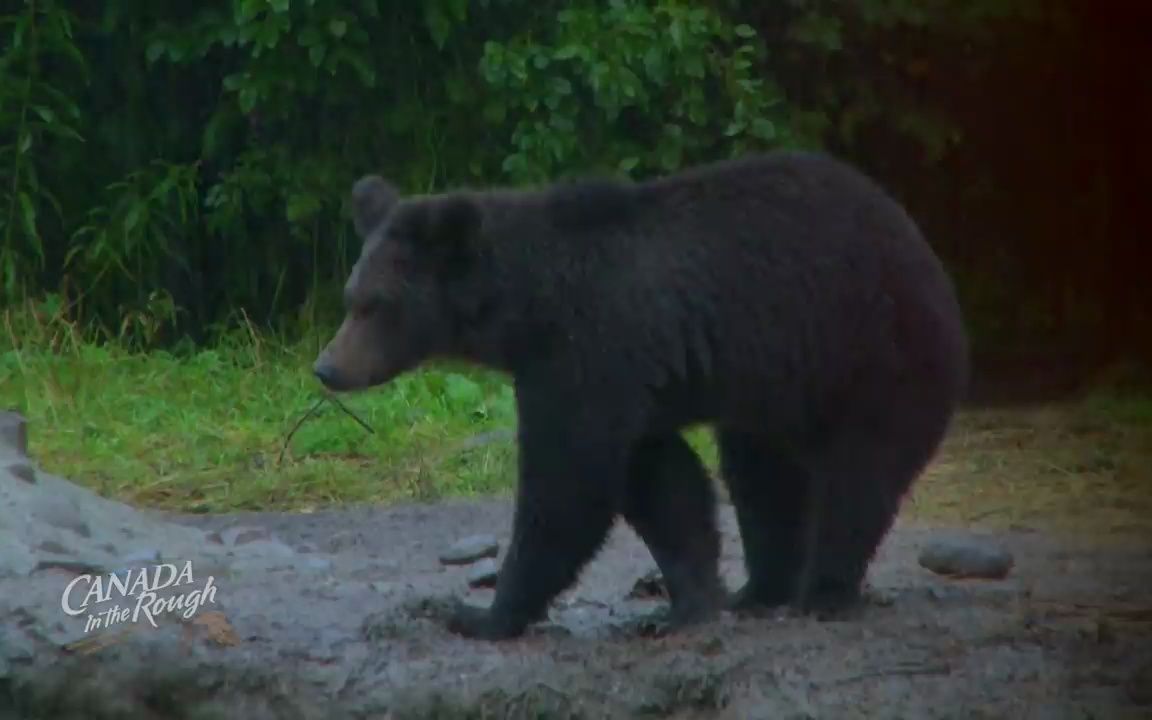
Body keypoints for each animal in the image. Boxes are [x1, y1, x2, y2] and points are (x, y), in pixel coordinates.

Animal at [315, 152, 972, 640]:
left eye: (375, 305)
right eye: (350, 297)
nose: (326, 368)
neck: (527, 309)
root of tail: (926, 253)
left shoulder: (588, 349)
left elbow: (569, 484)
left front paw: (482, 613)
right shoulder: (624, 379)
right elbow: (660, 483)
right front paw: (686, 599)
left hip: (872, 351)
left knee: (859, 477)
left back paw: (825, 591)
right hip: (774, 385)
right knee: (762, 474)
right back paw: (760, 588)